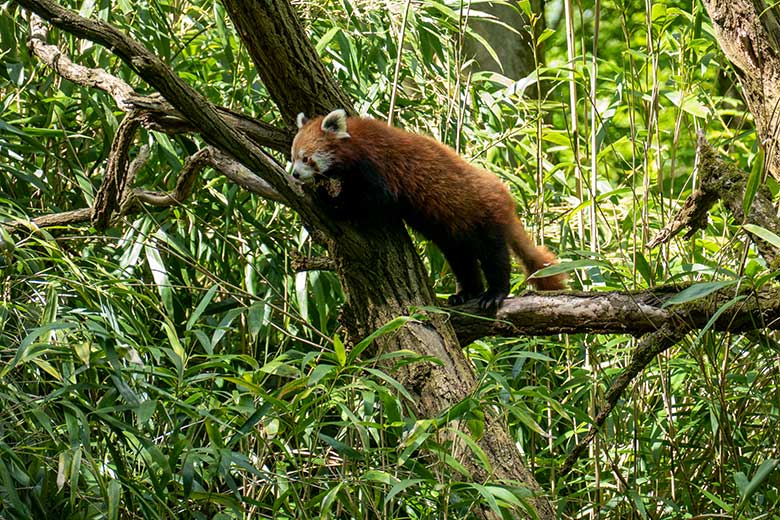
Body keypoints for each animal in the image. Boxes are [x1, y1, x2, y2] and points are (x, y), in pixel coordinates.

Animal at [290, 107, 564, 306]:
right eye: (293, 157)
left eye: (306, 158)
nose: (294, 174)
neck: (357, 142)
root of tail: (504, 196)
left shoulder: (378, 168)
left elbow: (375, 201)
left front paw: (334, 206)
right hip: (455, 233)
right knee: (462, 261)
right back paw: (467, 293)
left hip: (486, 218)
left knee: (494, 257)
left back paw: (494, 293)